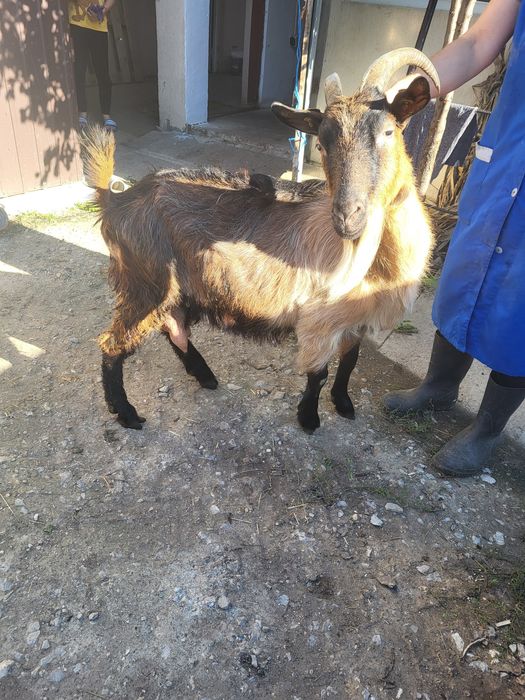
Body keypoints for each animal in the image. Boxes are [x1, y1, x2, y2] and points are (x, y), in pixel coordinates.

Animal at [83, 48, 439, 433]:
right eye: (323, 142)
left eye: (388, 131)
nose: (347, 216)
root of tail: (115, 199)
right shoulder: (319, 319)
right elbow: (319, 374)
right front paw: (309, 418)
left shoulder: (356, 318)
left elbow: (350, 362)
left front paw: (344, 404)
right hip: (144, 282)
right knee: (113, 343)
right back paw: (128, 413)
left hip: (176, 286)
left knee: (172, 327)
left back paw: (205, 376)